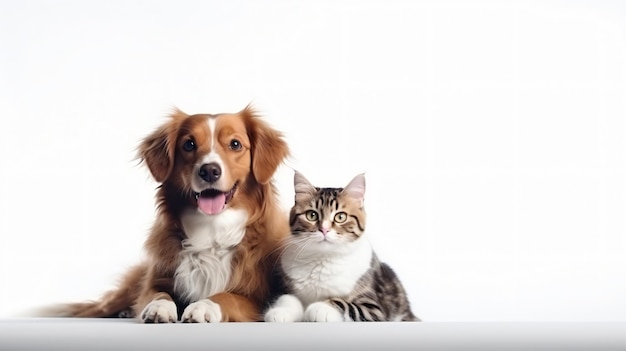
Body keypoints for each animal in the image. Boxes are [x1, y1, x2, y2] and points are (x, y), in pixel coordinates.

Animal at [41, 106, 290, 324]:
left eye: (235, 144)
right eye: (189, 144)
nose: (209, 170)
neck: (211, 230)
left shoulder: (255, 300)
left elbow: (226, 297)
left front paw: (203, 306)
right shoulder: (155, 281)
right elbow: (158, 294)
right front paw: (159, 307)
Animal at [260, 172, 416, 324]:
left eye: (340, 217)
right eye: (312, 215)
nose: (324, 229)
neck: (322, 260)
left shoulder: (374, 309)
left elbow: (344, 303)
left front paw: (320, 308)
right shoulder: (285, 287)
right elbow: (287, 298)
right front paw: (279, 312)